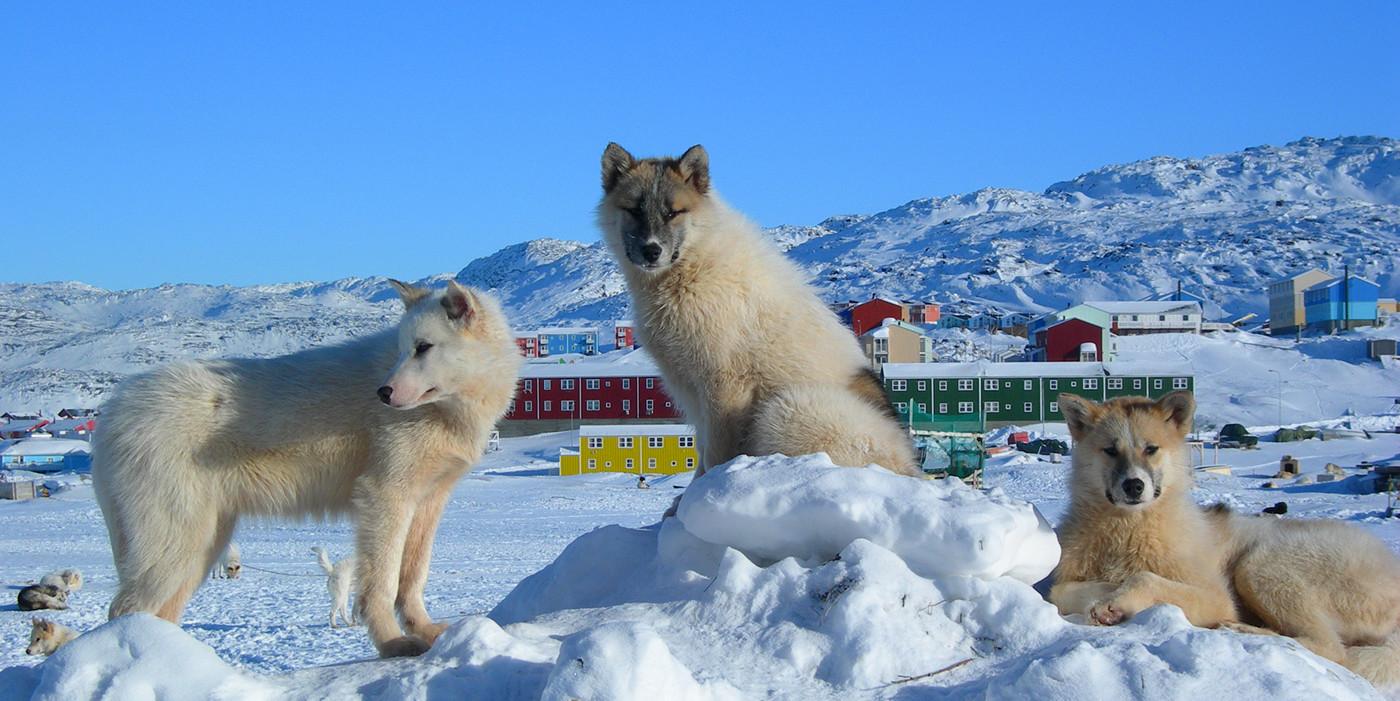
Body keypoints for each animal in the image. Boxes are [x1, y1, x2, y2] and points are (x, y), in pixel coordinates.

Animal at [93, 278, 523, 654]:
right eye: (403, 349)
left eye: (423, 347)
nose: (383, 393)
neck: (450, 409)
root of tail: (113, 411)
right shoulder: (384, 497)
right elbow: (381, 586)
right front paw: (391, 644)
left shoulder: (427, 501)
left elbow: (412, 580)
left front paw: (427, 631)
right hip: (175, 544)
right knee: (124, 611)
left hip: (200, 547)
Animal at [599, 143, 918, 486]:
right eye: (634, 210)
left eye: (673, 213)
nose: (651, 250)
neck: (693, 269)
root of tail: (910, 469)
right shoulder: (689, 389)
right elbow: (702, 452)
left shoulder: (724, 385)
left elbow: (715, 456)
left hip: (785, 408)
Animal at [1052, 391, 1400, 691]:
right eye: (1111, 450)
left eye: (1151, 449)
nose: (1134, 486)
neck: (1127, 529)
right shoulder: (1068, 581)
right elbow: (1065, 591)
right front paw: (1108, 600)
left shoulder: (1218, 598)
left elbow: (1145, 579)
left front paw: (1116, 602)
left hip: (1261, 565)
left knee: (1330, 648)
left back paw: (1242, 630)